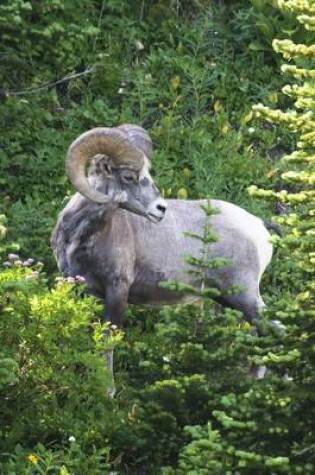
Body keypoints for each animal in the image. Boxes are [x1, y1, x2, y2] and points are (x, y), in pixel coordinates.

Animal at [51, 124, 274, 330]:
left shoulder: (117, 290)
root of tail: (260, 225)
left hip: (243, 295)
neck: (80, 237)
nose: (161, 208)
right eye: (128, 176)